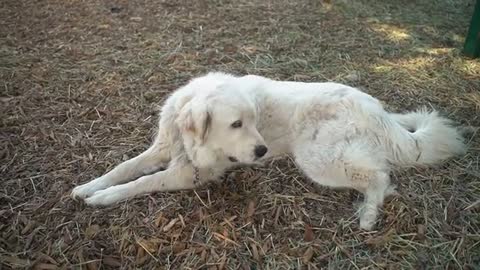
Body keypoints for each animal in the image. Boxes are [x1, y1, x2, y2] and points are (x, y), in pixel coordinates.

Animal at [71, 71, 464, 230]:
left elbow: (141, 183)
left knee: (380, 175)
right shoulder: (164, 149)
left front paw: (104, 198)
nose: (261, 151)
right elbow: (124, 168)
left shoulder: (191, 173)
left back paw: (368, 216)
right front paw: (88, 187)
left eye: (253, 120)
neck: (189, 138)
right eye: (235, 124)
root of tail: (377, 111)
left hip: (318, 159)